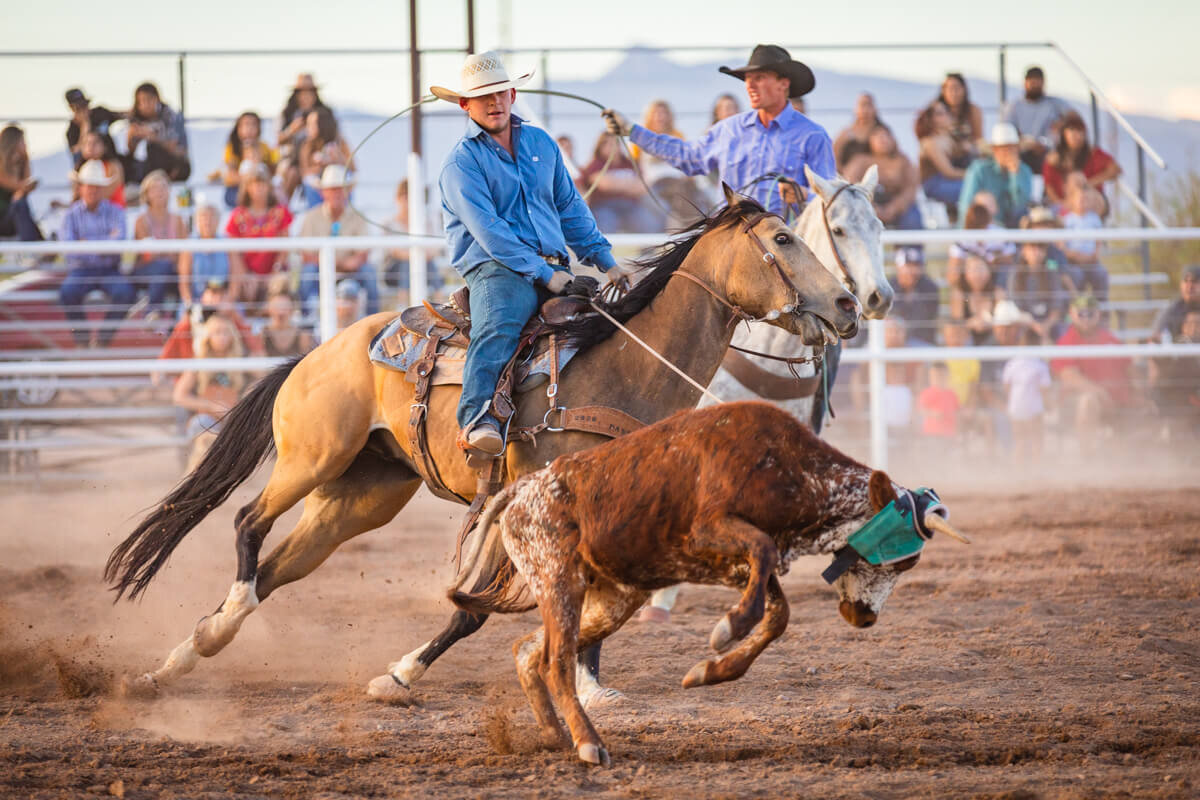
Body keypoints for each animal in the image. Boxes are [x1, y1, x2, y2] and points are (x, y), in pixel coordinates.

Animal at [100, 194, 854, 700]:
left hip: (360, 497)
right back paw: (214, 626)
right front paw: (400, 675)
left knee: (279, 566)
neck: (623, 367)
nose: (848, 303)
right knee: (247, 523)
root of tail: (319, 351)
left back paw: (183, 655)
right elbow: (474, 608)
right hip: (313, 458)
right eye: (784, 238)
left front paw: (590, 684)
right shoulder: (526, 509)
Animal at [448, 400, 964, 767]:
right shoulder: (711, 530)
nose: (866, 617)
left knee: (528, 650)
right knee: (555, 662)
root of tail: (523, 490)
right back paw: (589, 744)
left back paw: (556, 736)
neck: (793, 470)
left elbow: (778, 613)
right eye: (901, 558)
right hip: (558, 578)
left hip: (612, 599)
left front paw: (709, 669)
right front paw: (726, 629)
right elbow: (763, 561)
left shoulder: (734, 565)